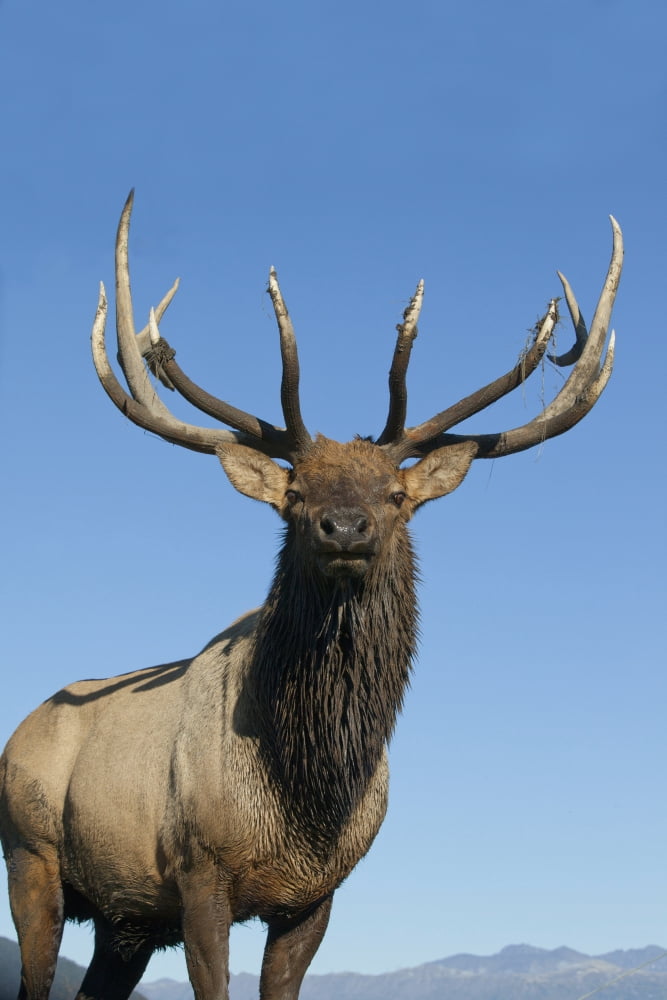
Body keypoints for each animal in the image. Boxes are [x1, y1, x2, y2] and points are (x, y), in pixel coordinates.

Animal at [0, 192, 622, 1000]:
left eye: (395, 495)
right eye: (295, 493)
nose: (345, 526)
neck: (308, 794)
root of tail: (20, 730)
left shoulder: (316, 895)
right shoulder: (200, 873)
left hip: (125, 918)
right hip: (31, 856)